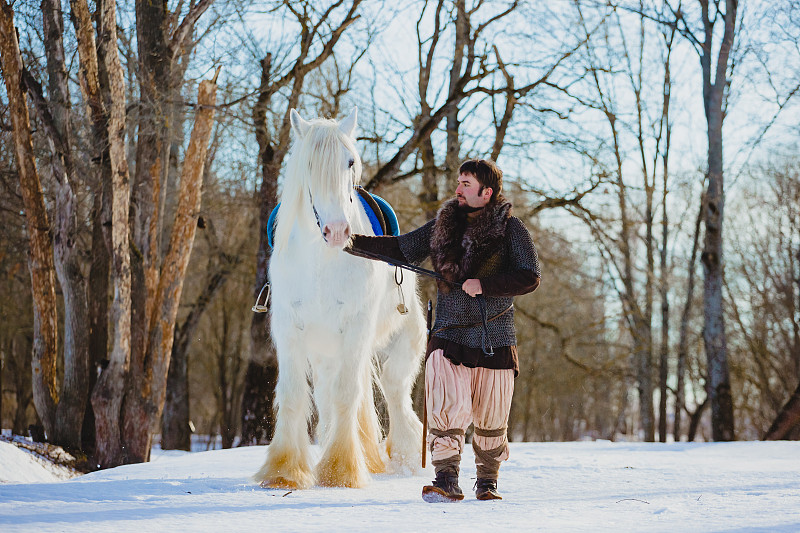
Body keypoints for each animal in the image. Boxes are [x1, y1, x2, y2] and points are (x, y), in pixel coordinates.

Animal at [256, 107, 428, 486]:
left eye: (350, 162)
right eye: (309, 165)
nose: (336, 232)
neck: (321, 260)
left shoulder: (356, 327)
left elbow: (348, 394)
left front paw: (340, 470)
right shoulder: (289, 330)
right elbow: (293, 396)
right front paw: (284, 470)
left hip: (398, 347)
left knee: (396, 396)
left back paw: (406, 459)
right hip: (324, 354)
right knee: (326, 396)